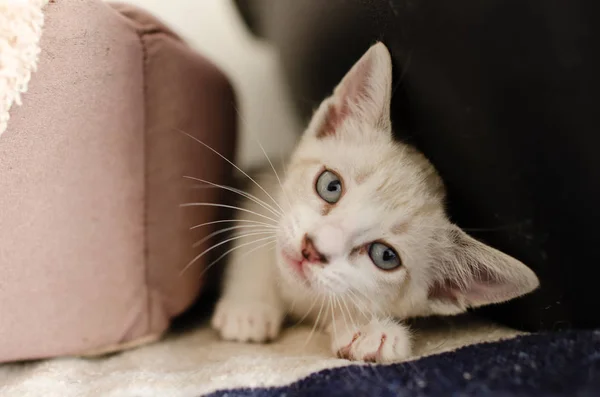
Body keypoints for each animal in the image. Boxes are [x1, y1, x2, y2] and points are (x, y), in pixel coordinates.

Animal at [210, 42, 540, 362]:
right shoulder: (265, 186)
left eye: (384, 256)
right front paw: (249, 308)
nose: (310, 249)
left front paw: (367, 330)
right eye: (330, 186)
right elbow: (253, 243)